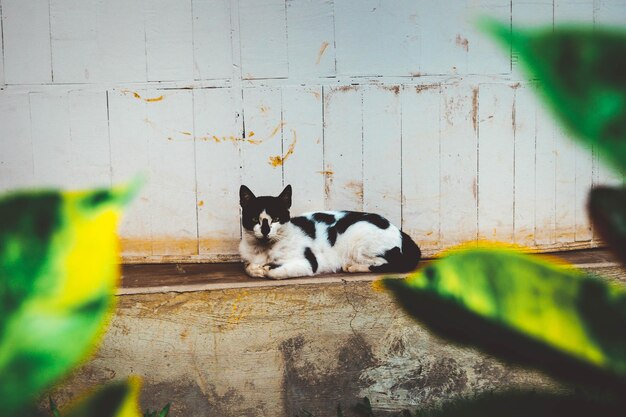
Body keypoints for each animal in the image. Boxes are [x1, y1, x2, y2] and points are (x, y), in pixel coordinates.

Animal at [239, 184, 420, 280]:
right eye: (254, 219)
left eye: (276, 218)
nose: (265, 230)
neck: (264, 250)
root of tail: (400, 231)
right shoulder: (248, 260)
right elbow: (248, 266)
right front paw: (256, 268)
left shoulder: (308, 263)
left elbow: (273, 272)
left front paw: (266, 269)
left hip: (362, 244)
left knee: (386, 263)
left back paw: (352, 266)